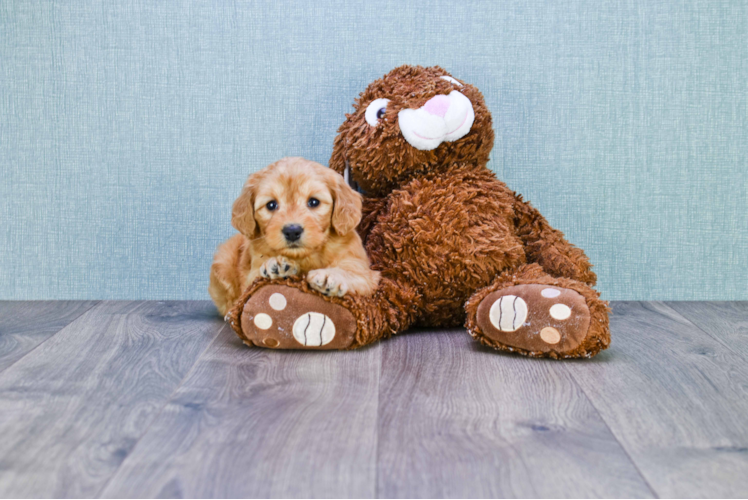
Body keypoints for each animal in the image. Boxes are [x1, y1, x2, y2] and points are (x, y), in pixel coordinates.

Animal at [209, 156, 380, 314]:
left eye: (314, 202)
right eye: (271, 205)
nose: (292, 231)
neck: (305, 257)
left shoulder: (364, 271)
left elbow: (352, 273)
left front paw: (330, 276)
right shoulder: (252, 276)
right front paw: (276, 264)